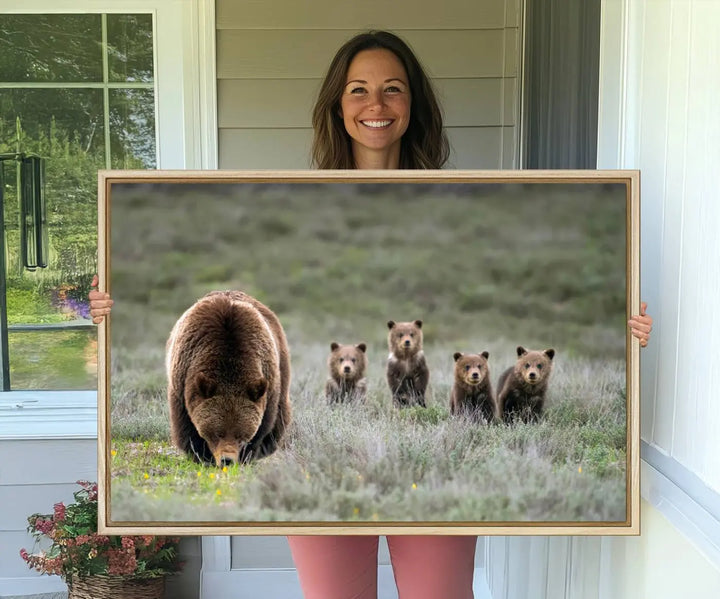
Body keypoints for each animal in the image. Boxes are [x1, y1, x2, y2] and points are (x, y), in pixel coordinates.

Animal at [167, 292, 292, 468]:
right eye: (217, 433)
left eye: (240, 435)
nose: (227, 460)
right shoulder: (183, 381)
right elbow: (187, 426)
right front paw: (201, 455)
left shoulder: (268, 383)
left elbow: (263, 425)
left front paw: (247, 455)